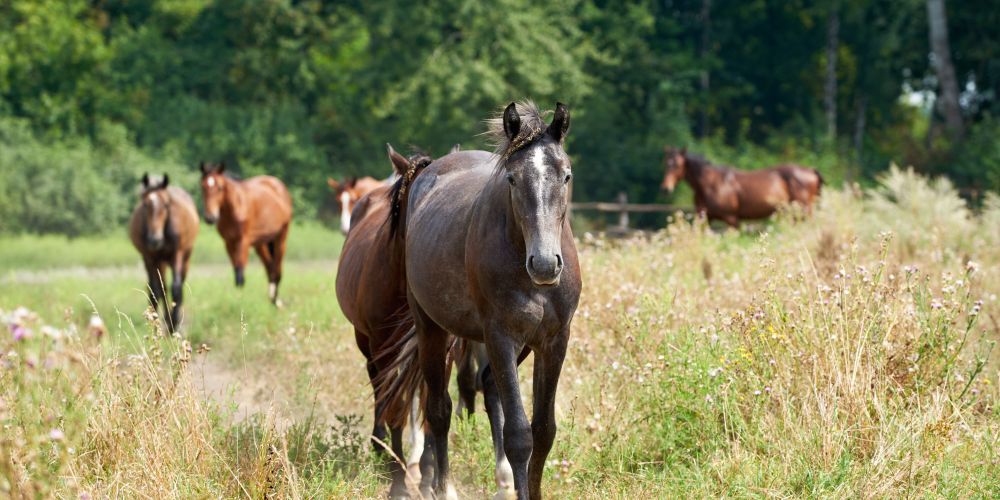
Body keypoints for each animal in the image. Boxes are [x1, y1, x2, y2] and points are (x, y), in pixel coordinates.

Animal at [128, 174, 199, 333]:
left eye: (166, 205)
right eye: (145, 205)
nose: (155, 240)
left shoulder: (177, 254)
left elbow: (176, 288)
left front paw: (174, 323)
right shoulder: (150, 257)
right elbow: (156, 289)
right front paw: (154, 321)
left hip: (184, 259)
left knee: (176, 285)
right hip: (157, 261)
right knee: (161, 288)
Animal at [199, 162, 293, 305]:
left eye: (220, 187)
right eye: (203, 187)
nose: (210, 218)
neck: (235, 208)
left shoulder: (243, 241)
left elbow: (240, 272)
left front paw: (240, 301)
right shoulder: (229, 243)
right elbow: (236, 272)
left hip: (281, 238)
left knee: (277, 269)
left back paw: (276, 301)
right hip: (261, 244)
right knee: (270, 268)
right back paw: (272, 299)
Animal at [382, 102, 581, 500]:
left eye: (565, 176)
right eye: (512, 179)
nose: (545, 264)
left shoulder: (554, 341)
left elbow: (544, 430)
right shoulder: (500, 336)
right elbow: (519, 434)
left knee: (487, 386)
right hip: (432, 329)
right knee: (439, 410)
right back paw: (443, 487)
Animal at [660, 147, 823, 227]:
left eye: (677, 165)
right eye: (666, 163)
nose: (665, 188)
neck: (710, 185)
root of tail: (811, 170)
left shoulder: (732, 220)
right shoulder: (704, 218)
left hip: (804, 211)